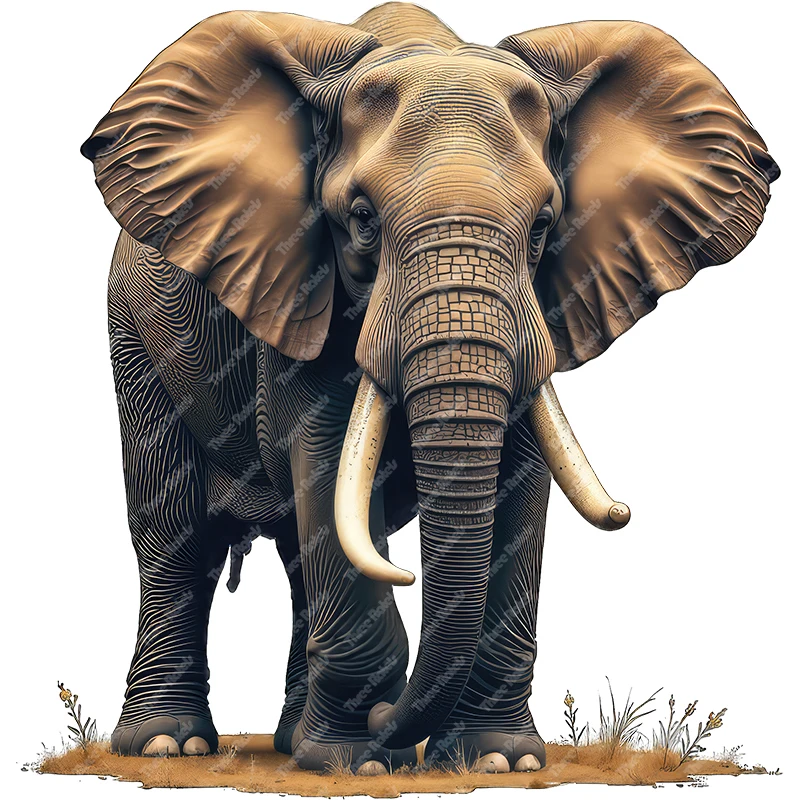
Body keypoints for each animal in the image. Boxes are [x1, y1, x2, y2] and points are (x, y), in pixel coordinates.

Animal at [81, 2, 778, 775]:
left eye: (543, 226)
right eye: (361, 221)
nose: (390, 721)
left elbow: (519, 482)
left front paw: (501, 761)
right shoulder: (301, 295)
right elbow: (323, 458)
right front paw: (357, 763)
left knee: (294, 549)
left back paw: (292, 742)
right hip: (134, 337)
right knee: (177, 540)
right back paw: (169, 745)